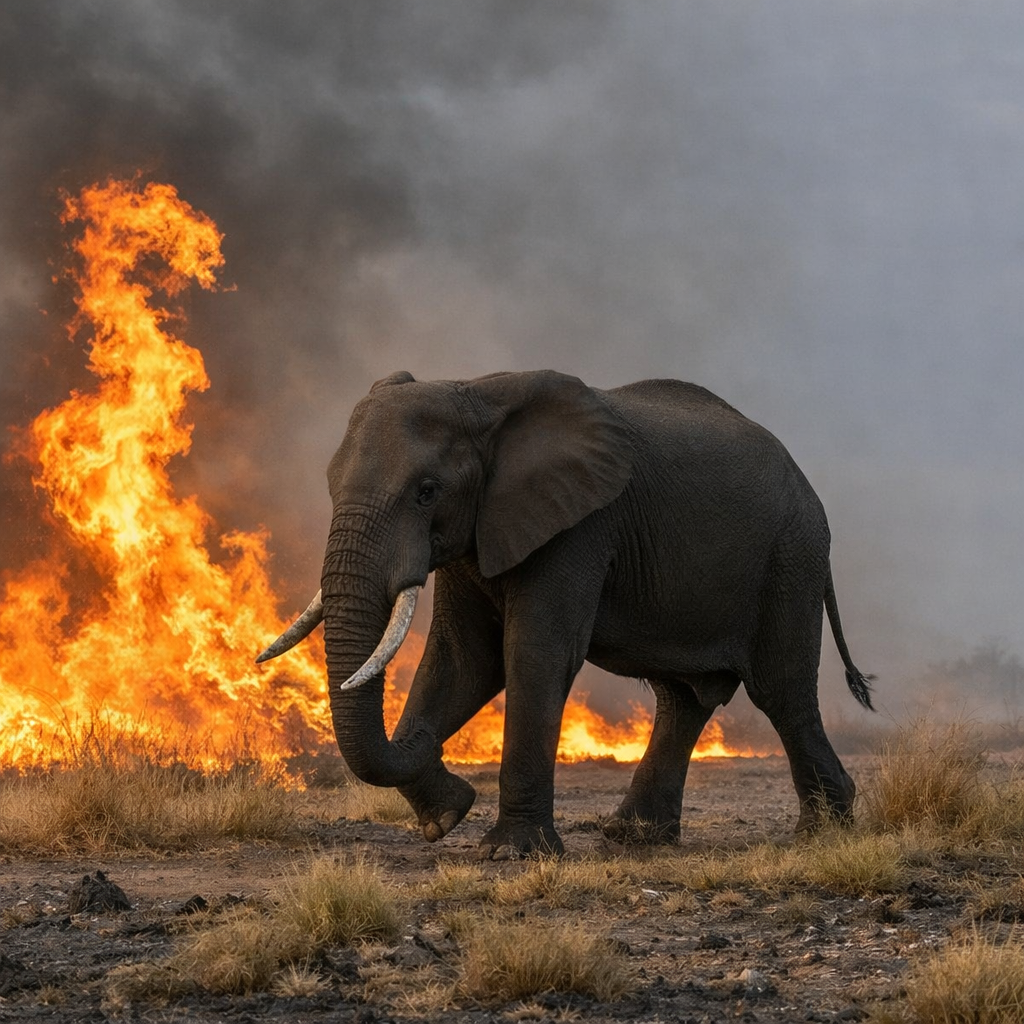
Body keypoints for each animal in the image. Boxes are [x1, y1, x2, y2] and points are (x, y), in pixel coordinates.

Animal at [258, 370, 873, 859]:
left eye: (427, 491)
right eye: (330, 486)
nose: (456, 788)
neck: (475, 394)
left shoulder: (580, 526)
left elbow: (533, 653)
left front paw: (511, 854)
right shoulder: (480, 530)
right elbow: (464, 660)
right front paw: (446, 815)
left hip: (790, 556)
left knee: (781, 692)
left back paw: (823, 831)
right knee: (684, 698)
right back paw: (634, 837)